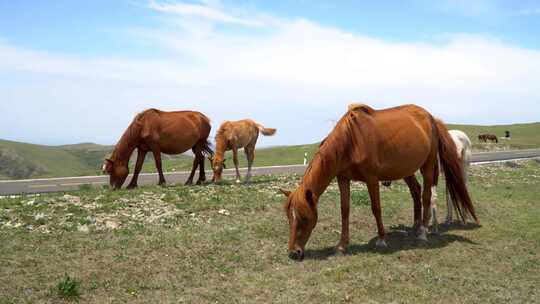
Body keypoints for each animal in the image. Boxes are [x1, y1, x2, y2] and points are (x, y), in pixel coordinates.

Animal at [280, 104, 478, 258]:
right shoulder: (343, 179)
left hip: (428, 166)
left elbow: (376, 208)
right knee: (416, 191)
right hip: (407, 170)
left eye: (305, 218)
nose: (294, 253)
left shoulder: (372, 179)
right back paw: (416, 226)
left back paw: (423, 232)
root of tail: (431, 118)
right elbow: (344, 211)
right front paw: (341, 246)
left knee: (426, 195)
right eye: (289, 217)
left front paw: (382, 239)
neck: (351, 141)